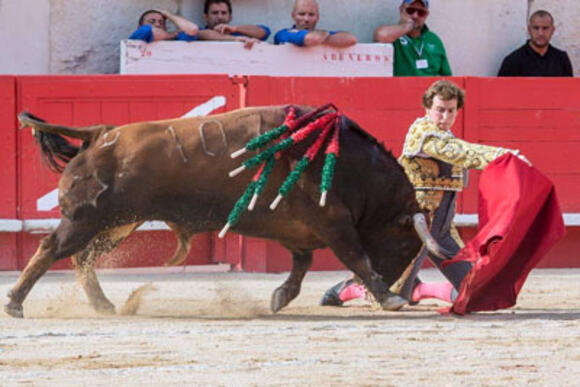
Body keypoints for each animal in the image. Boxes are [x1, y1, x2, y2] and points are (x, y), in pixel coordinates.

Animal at [4, 106, 446, 318]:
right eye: (405, 245)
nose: (390, 287)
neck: (353, 168)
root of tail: (99, 133)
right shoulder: (334, 225)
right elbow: (357, 258)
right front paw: (390, 299)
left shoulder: (300, 232)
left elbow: (301, 267)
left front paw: (279, 297)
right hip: (86, 219)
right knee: (51, 250)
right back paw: (14, 303)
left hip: (117, 224)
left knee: (82, 258)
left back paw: (104, 306)